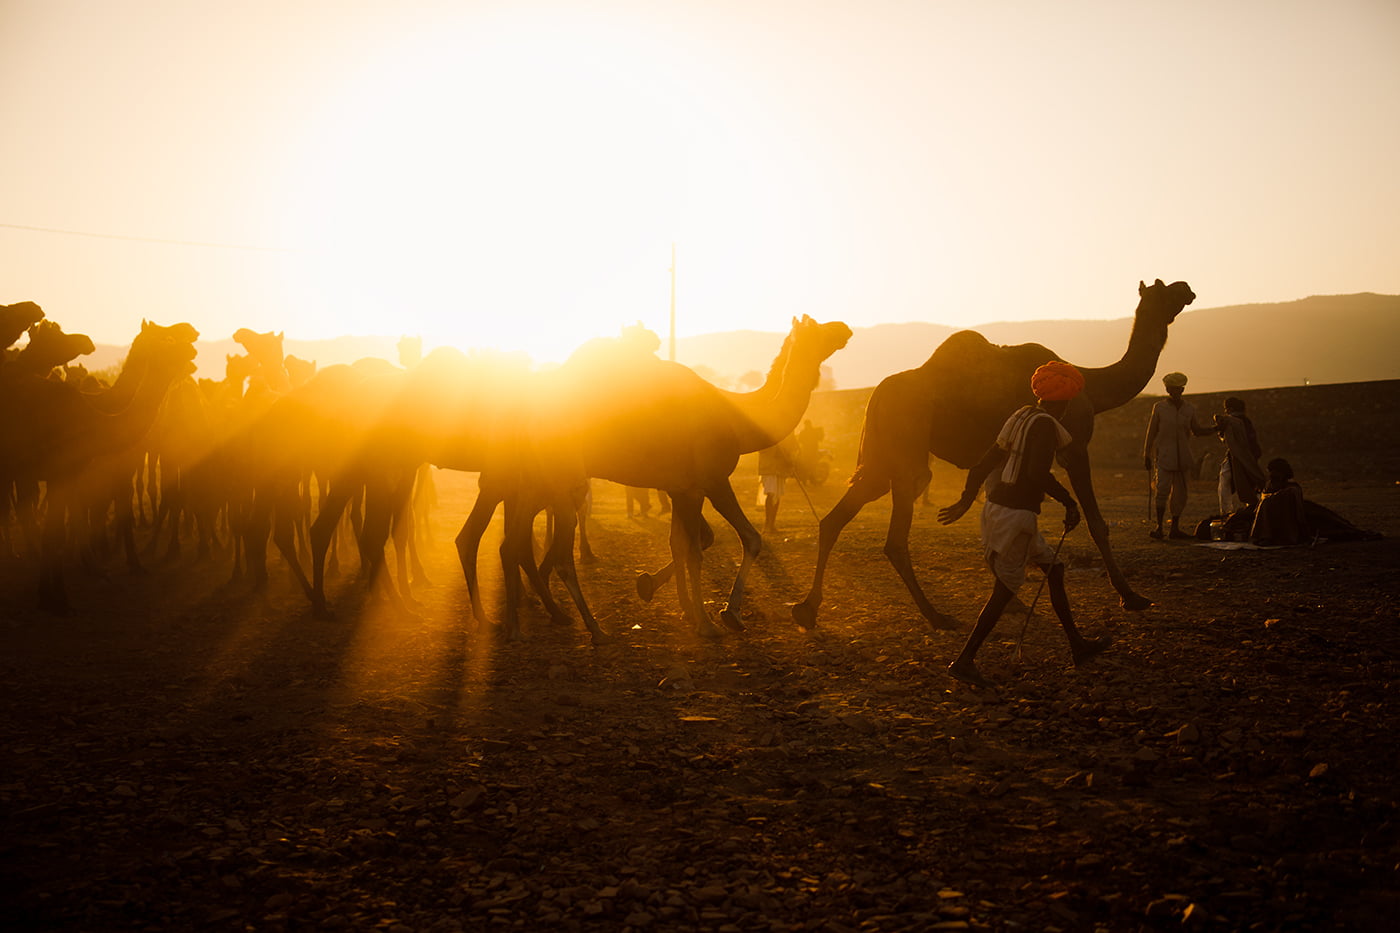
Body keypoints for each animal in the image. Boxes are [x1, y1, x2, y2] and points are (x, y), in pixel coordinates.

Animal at [795, 275, 1198, 624]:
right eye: (1164, 289)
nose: (1188, 288)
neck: (1092, 385)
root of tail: (877, 395)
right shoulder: (1073, 446)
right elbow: (1097, 523)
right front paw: (1131, 596)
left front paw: (1013, 599)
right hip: (906, 450)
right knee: (895, 533)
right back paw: (936, 616)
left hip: (880, 458)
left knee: (837, 517)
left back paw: (809, 607)